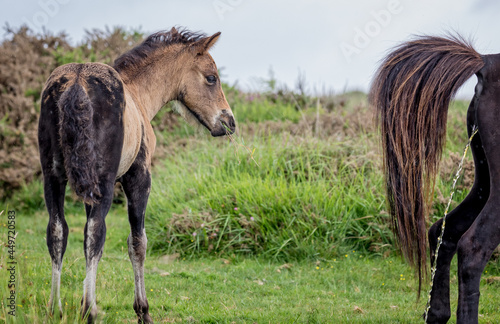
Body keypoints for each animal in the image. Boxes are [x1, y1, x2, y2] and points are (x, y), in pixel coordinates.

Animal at [37, 26, 236, 322]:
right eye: (211, 78)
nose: (229, 121)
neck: (138, 95)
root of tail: (76, 83)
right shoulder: (139, 177)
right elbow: (137, 243)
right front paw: (143, 310)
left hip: (53, 178)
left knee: (57, 231)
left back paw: (55, 309)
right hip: (104, 182)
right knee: (95, 234)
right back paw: (89, 309)